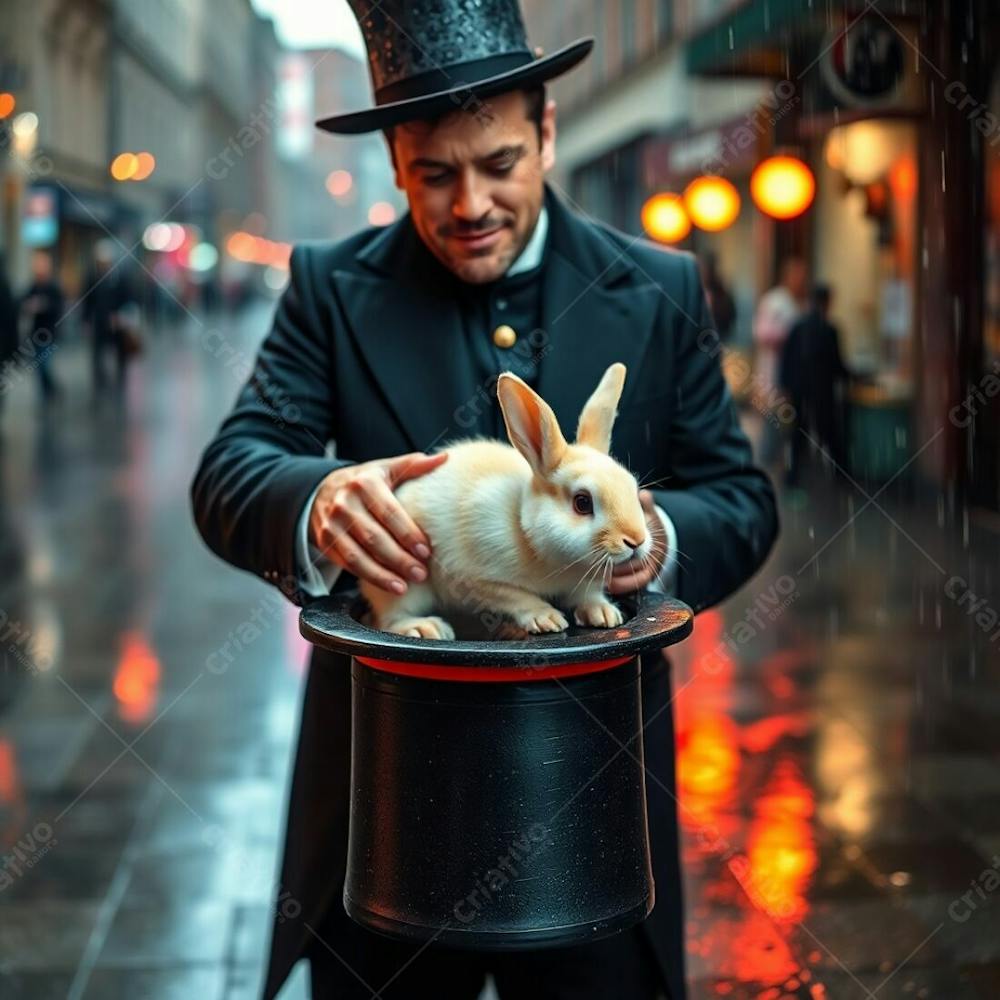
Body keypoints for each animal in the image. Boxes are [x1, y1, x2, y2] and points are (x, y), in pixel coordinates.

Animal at [364, 362, 652, 640]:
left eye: (632, 487)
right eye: (582, 502)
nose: (636, 540)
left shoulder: (584, 582)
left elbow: (587, 595)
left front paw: (604, 613)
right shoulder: (475, 578)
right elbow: (515, 597)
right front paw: (546, 618)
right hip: (404, 582)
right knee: (391, 618)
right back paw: (425, 628)